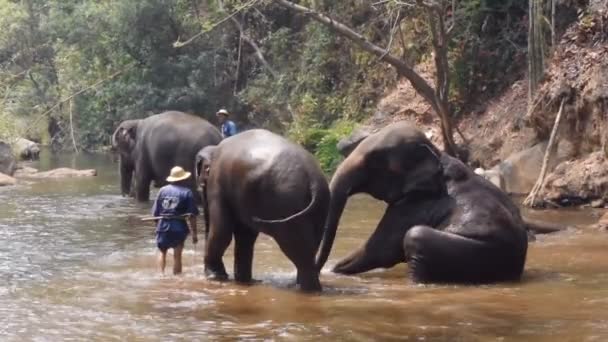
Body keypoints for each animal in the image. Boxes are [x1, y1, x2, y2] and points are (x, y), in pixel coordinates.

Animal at [196, 130, 330, 292]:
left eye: (200, 187)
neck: (214, 150)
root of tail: (314, 180)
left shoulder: (217, 184)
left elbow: (222, 231)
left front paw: (215, 277)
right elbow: (245, 236)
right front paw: (242, 280)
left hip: (286, 203)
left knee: (296, 249)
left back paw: (305, 290)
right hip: (318, 208)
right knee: (309, 247)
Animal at [316, 121, 536, 284]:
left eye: (374, 161)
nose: (320, 271)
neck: (437, 152)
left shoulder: (415, 205)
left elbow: (379, 251)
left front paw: (333, 271)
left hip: (481, 253)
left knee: (415, 236)